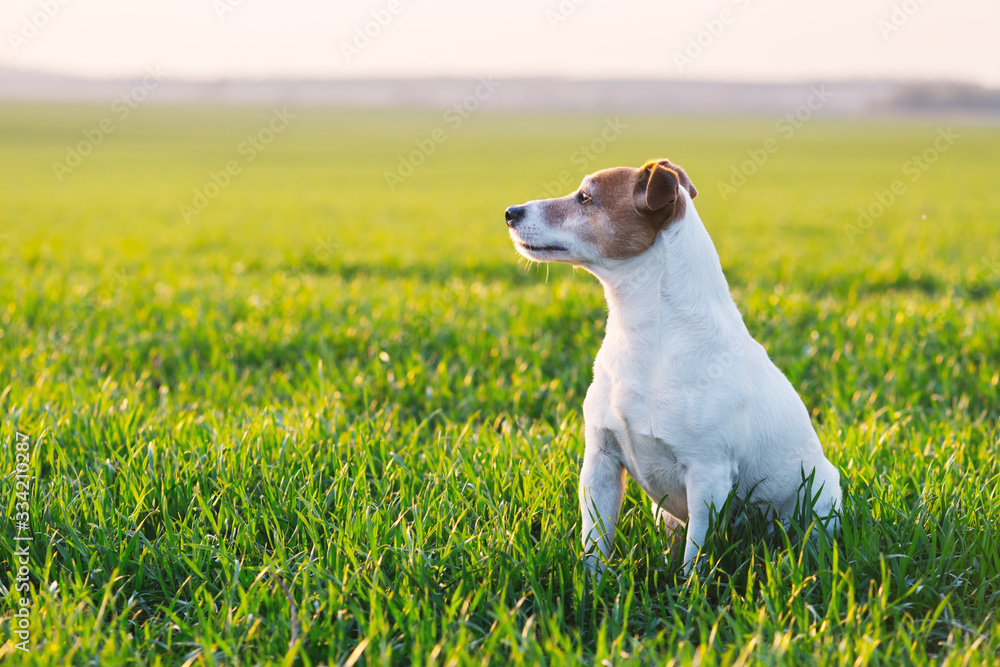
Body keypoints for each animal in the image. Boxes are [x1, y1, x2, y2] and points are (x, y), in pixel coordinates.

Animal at [504, 160, 840, 576]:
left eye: (585, 198)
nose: (510, 212)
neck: (646, 336)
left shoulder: (708, 476)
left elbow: (695, 557)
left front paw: (689, 590)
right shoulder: (600, 461)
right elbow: (595, 544)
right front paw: (591, 585)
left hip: (818, 503)